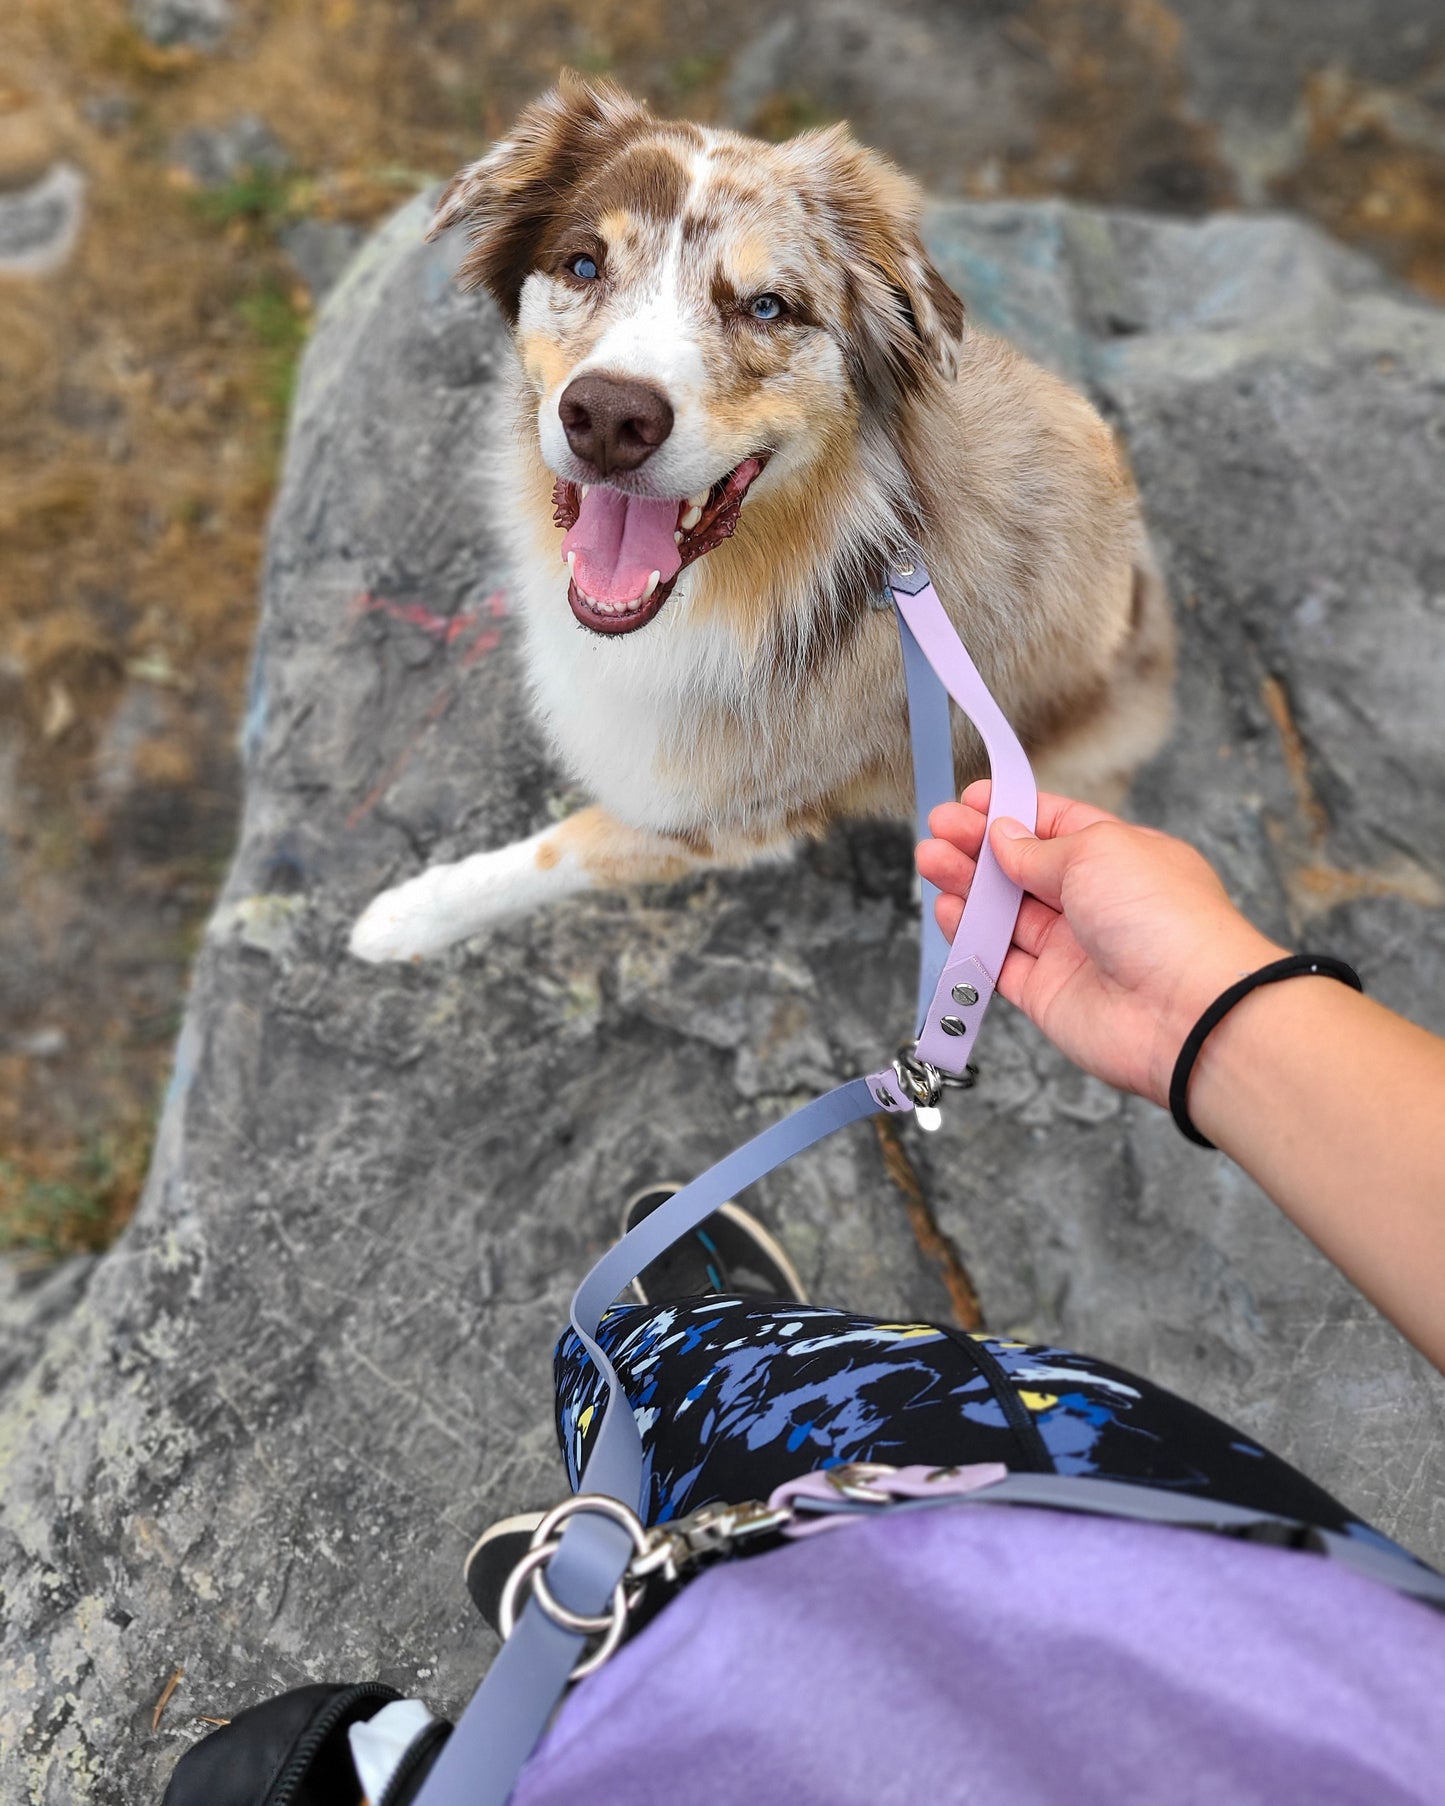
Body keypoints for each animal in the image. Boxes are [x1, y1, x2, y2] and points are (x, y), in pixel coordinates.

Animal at [350, 75, 1170, 968]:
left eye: (768, 307)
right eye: (583, 264)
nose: (607, 418)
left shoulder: (724, 814)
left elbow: (563, 848)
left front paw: (405, 916)